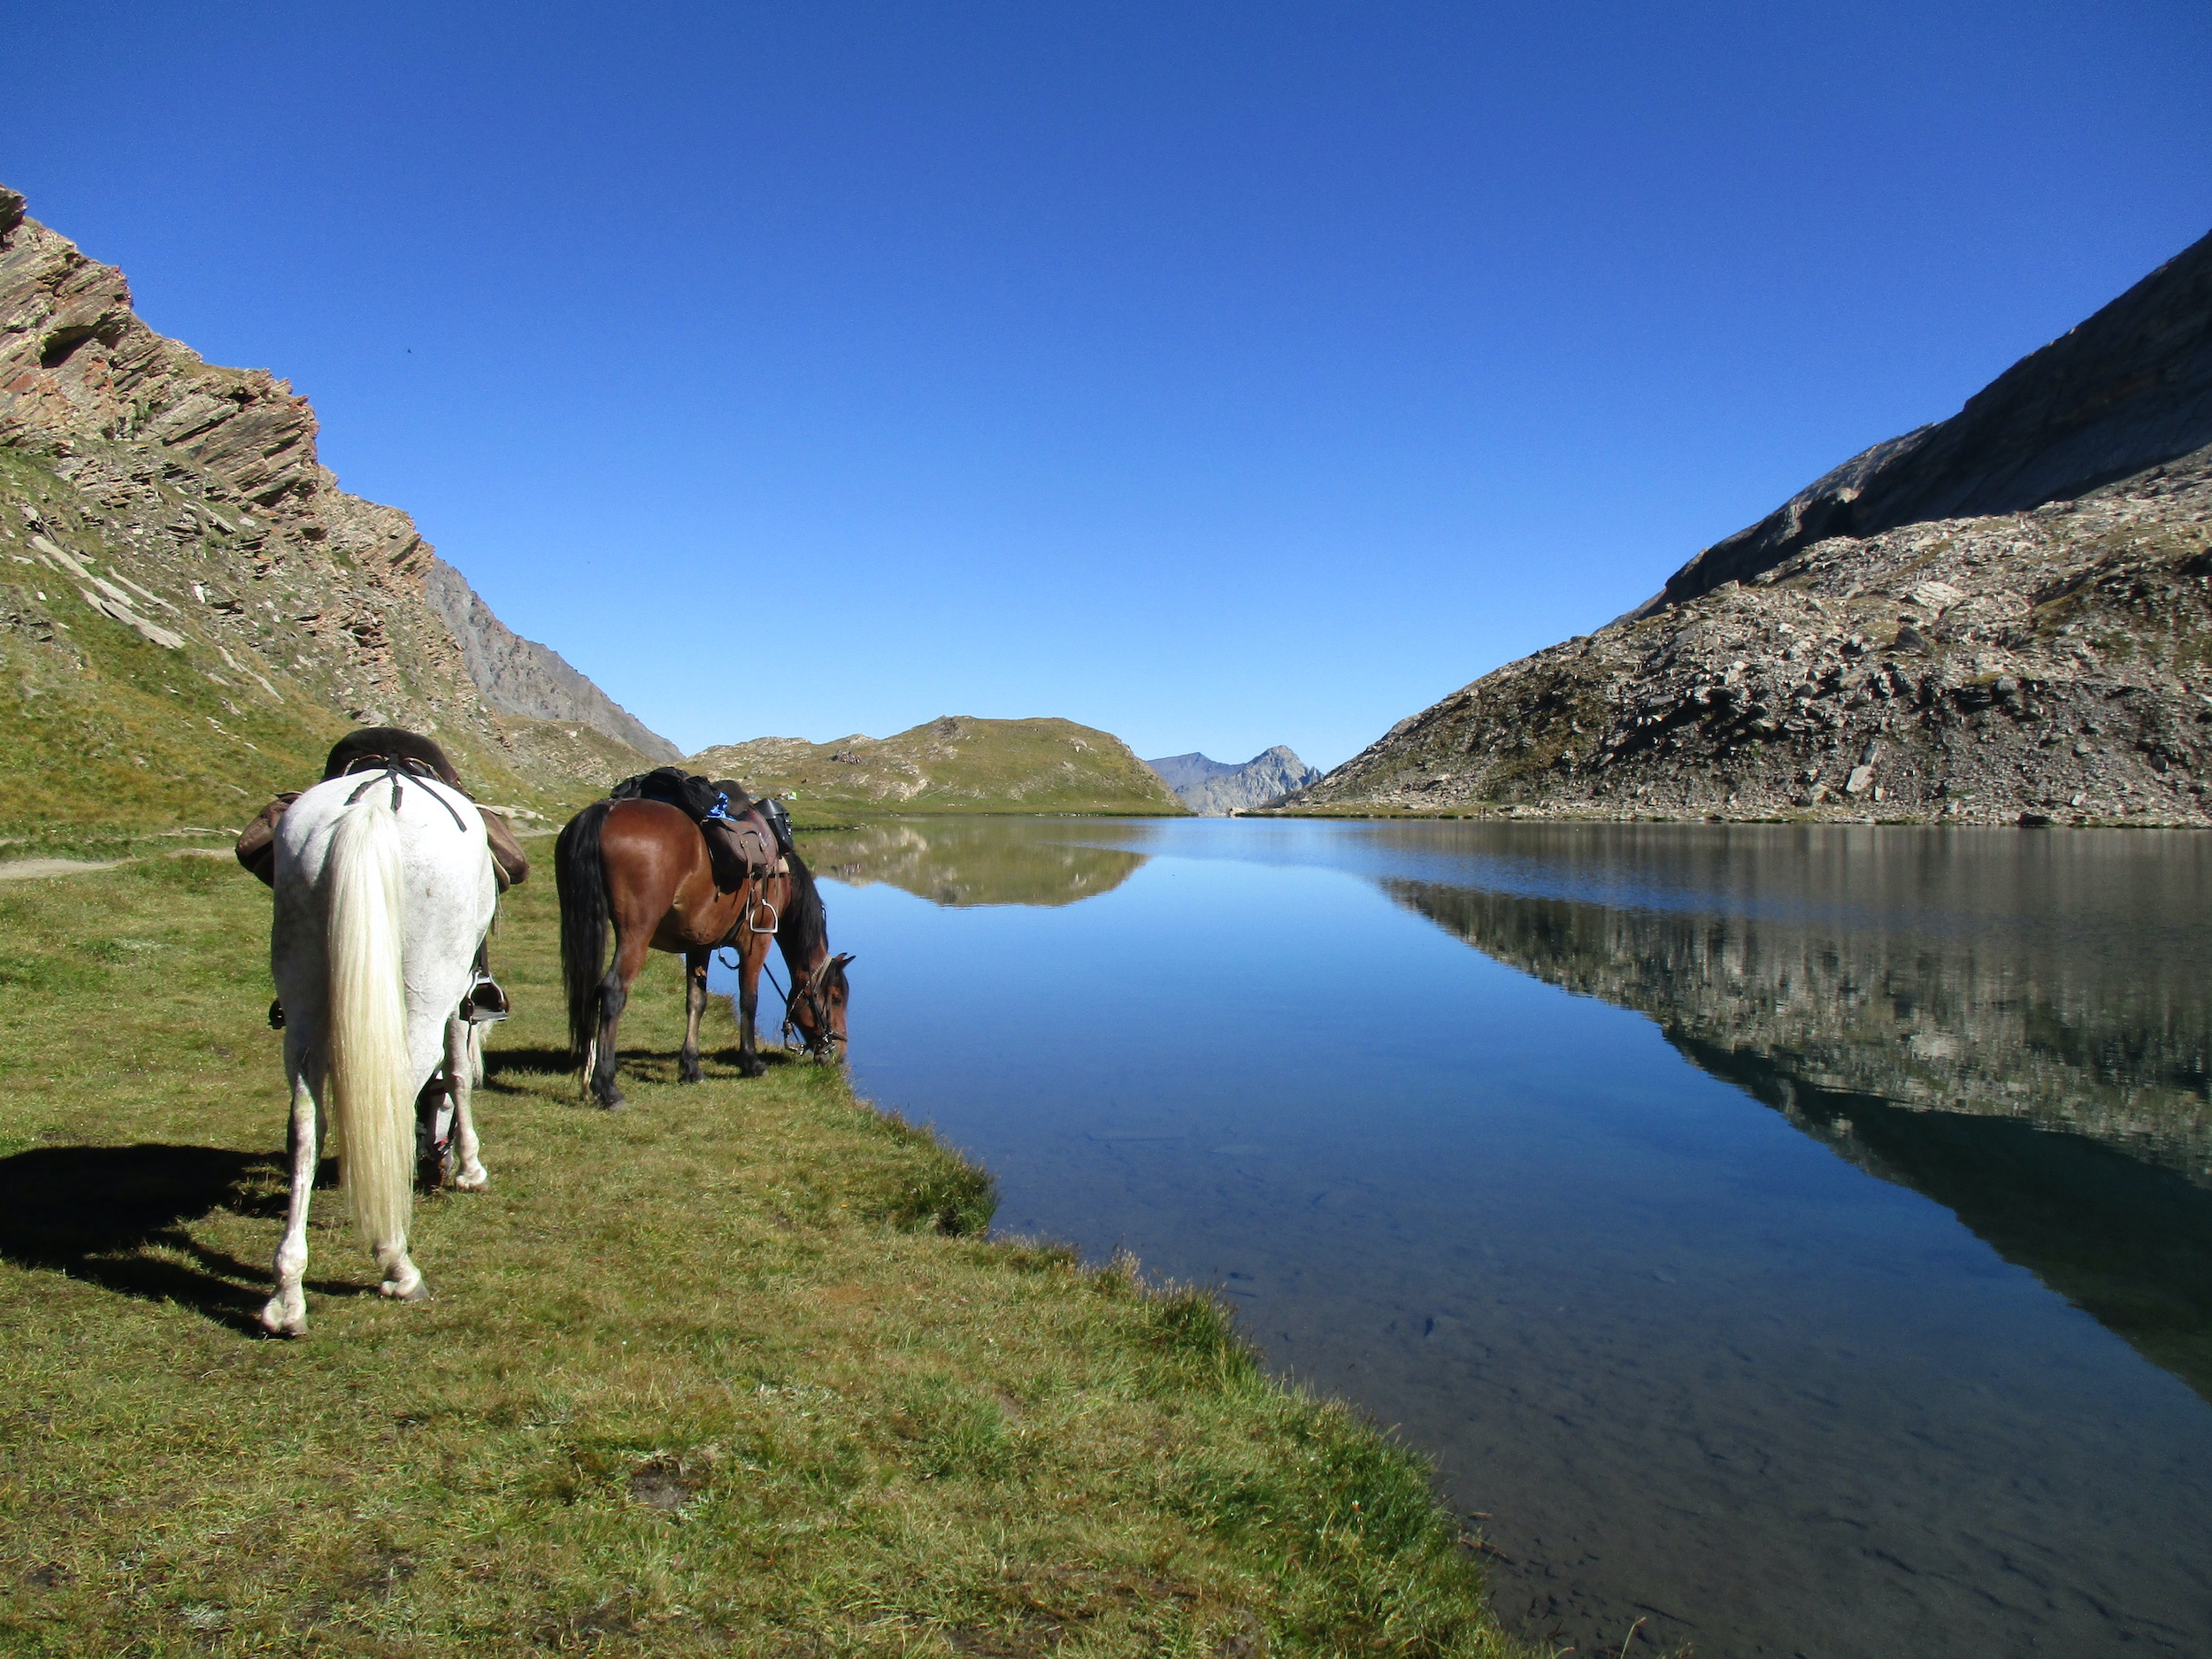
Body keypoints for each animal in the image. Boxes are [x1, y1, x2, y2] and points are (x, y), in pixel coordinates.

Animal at [261, 765, 500, 1336]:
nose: (435, 1162)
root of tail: (372, 799)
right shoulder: (458, 998)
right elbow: (458, 1074)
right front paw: (470, 1168)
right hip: (424, 989)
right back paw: (397, 1264)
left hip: (302, 988)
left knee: (305, 1121)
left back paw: (287, 1293)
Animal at [557, 801, 849, 1110]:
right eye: (836, 998)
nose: (839, 1051)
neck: (781, 879)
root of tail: (607, 809)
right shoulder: (757, 943)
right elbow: (749, 1001)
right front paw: (751, 1062)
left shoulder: (700, 944)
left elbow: (696, 1002)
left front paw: (691, 1067)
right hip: (635, 933)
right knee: (612, 991)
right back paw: (607, 1087)